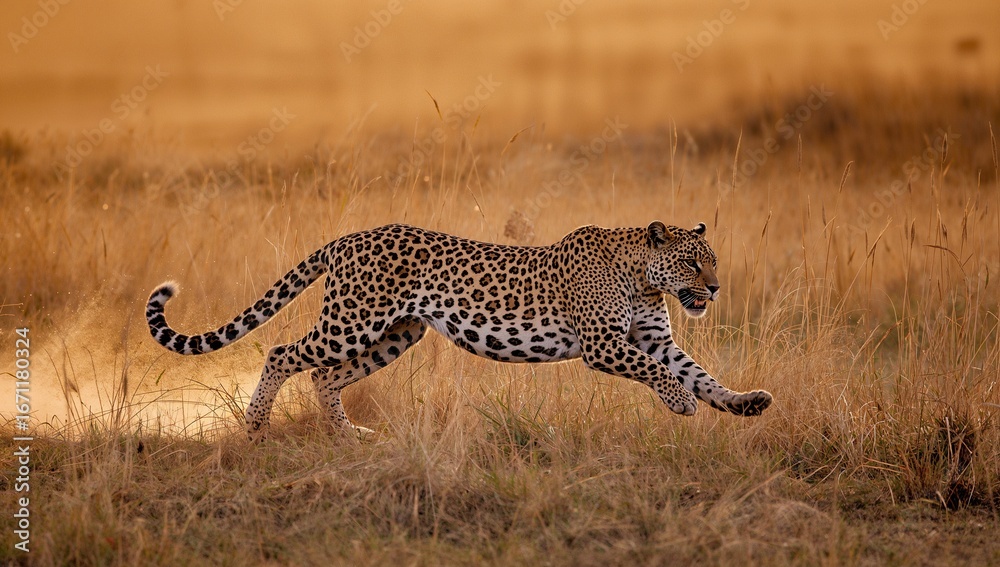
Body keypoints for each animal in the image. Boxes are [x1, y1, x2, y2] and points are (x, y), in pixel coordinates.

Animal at [146, 222, 773, 442]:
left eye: (712, 261)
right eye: (693, 262)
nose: (716, 288)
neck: (643, 279)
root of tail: (348, 237)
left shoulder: (654, 337)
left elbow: (699, 373)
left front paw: (746, 402)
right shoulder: (604, 344)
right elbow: (660, 373)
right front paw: (680, 404)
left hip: (396, 334)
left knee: (326, 376)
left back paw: (351, 436)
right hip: (351, 321)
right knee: (282, 352)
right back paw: (254, 429)